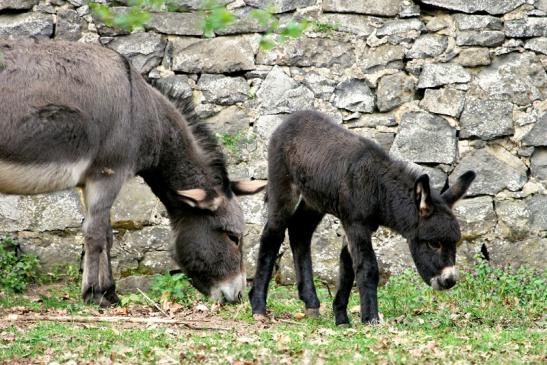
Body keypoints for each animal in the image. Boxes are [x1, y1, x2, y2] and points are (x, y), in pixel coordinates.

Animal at [249, 109, 476, 322]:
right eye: (434, 244)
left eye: (455, 243)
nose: (449, 281)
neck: (377, 187)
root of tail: (292, 118)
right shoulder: (356, 224)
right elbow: (367, 268)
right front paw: (371, 319)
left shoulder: (356, 226)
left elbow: (348, 268)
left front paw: (341, 317)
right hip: (283, 186)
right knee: (272, 233)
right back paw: (258, 306)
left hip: (314, 201)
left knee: (299, 231)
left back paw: (311, 303)